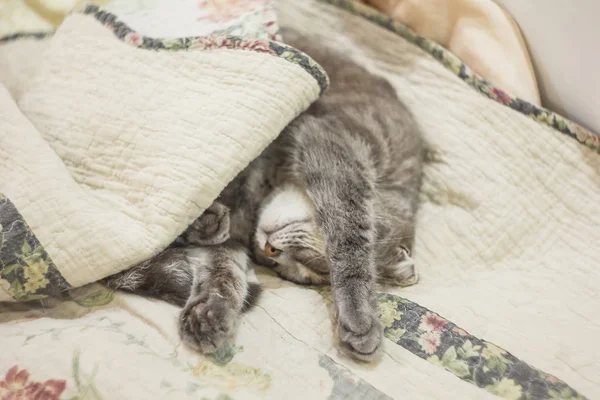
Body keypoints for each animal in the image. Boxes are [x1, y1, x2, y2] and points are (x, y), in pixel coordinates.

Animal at [103, 30, 422, 362]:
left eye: (290, 270)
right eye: (316, 265)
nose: (268, 252)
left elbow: (224, 269)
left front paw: (210, 313)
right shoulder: (337, 150)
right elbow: (350, 243)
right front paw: (361, 317)